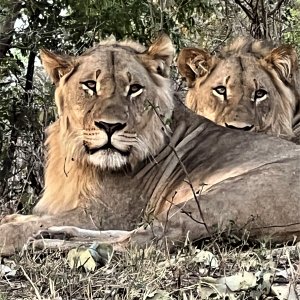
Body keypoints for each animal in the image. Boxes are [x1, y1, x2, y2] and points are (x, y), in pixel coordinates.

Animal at [0, 35, 300, 255]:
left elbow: (24, 226)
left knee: (142, 241)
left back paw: (48, 243)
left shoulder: (106, 213)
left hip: (218, 198)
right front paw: (16, 220)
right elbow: (34, 218)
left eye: (134, 88)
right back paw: (58, 233)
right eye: (90, 86)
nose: (110, 126)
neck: (77, 154)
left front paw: (11, 231)